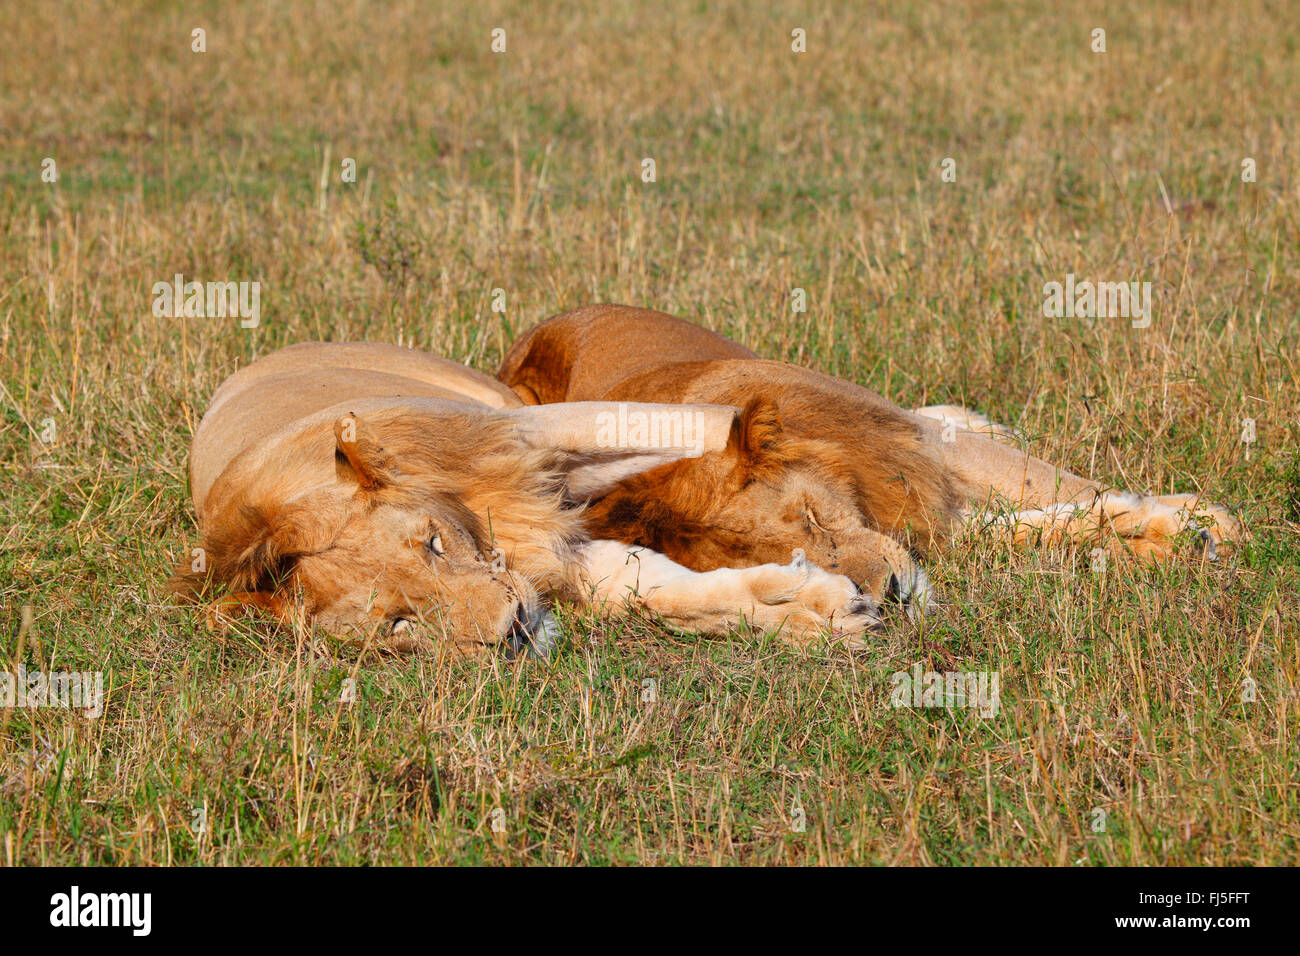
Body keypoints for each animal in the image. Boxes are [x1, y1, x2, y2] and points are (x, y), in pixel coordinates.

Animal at [173, 341, 880, 655]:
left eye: (433, 543)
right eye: (401, 623)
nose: (514, 628)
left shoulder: (534, 441)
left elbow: (702, 425)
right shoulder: (551, 550)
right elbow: (665, 592)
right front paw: (810, 609)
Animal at [498, 305, 1246, 614]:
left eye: (811, 518)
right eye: (794, 562)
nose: (891, 593)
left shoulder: (913, 447)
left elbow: (1062, 484)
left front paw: (1204, 521)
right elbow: (1017, 528)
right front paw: (1157, 535)